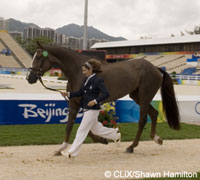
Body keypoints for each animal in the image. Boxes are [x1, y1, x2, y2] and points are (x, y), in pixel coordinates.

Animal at [25, 42, 180, 155]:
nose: (29, 78)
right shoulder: (74, 102)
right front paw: (61, 148)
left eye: (38, 57)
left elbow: (85, 127)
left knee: (142, 120)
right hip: (137, 96)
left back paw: (131, 147)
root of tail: (156, 68)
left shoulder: (85, 103)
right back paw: (156, 139)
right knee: (153, 114)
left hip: (145, 96)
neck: (78, 72)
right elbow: (70, 125)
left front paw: (102, 139)